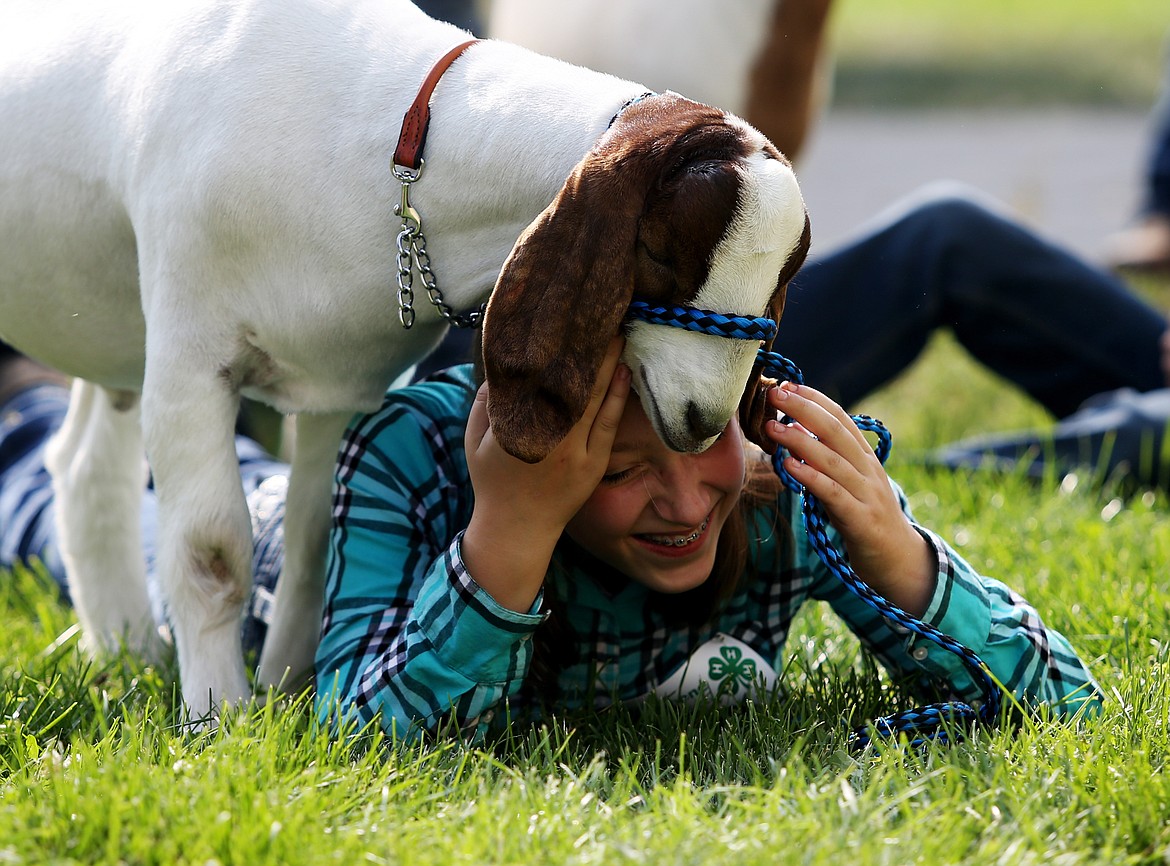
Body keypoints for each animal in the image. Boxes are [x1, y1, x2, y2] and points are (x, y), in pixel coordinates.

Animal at [0, 0, 804, 716]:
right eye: (660, 252)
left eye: (783, 276)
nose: (703, 419)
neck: (388, 146)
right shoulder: (191, 360)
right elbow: (211, 553)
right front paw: (217, 715)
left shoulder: (340, 387)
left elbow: (313, 546)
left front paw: (287, 697)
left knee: (84, 468)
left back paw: (130, 650)